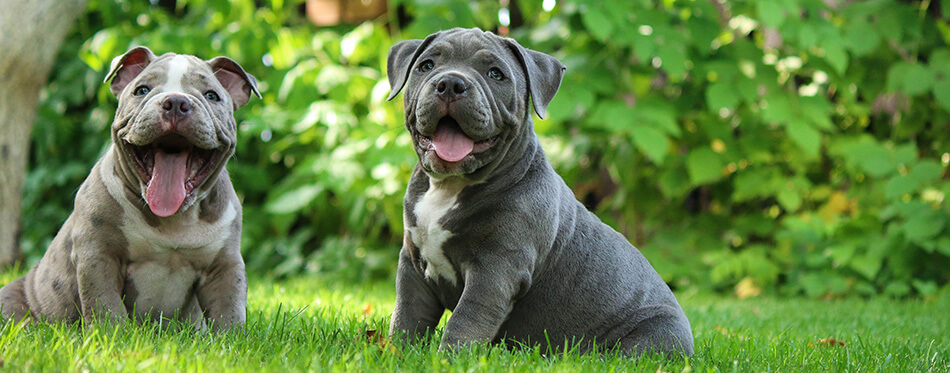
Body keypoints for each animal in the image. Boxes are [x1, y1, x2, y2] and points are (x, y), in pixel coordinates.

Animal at [0, 47, 260, 332]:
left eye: (211, 96)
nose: (176, 102)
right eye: (142, 90)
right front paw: (111, 335)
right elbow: (105, 304)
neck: (173, 221)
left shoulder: (224, 266)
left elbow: (228, 311)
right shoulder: (98, 255)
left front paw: (230, 338)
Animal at [386, 28, 692, 354]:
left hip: (656, 335)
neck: (449, 186)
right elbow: (407, 316)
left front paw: (449, 358)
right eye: (427, 66)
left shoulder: (496, 270)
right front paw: (398, 353)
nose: (451, 84)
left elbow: (466, 320)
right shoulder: (413, 265)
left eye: (495, 74)